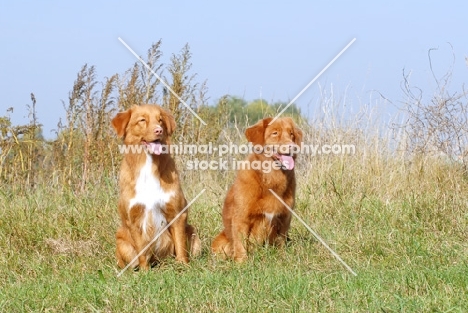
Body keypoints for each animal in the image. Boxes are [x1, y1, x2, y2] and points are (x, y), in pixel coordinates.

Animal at [114, 103, 203, 268]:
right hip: (121, 238)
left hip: (193, 232)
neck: (148, 166)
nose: (159, 130)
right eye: (142, 120)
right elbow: (142, 251)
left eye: (160, 120)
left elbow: (180, 244)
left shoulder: (177, 212)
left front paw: (182, 265)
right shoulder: (133, 219)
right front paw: (145, 270)